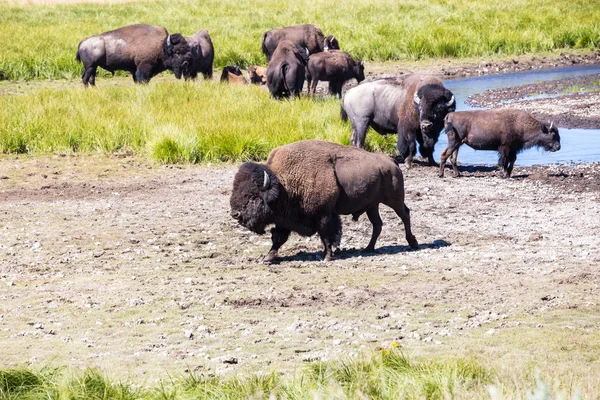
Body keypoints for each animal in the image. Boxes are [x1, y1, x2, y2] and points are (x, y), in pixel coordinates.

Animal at [230, 139, 418, 264]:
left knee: (405, 215)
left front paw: (327, 257)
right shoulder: (284, 219)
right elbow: (278, 238)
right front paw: (268, 257)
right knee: (377, 224)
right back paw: (368, 248)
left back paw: (413, 243)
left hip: (394, 200)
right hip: (372, 206)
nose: (235, 214)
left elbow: (327, 235)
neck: (283, 185)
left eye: (253, 196)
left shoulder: (324, 214)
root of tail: (391, 162)